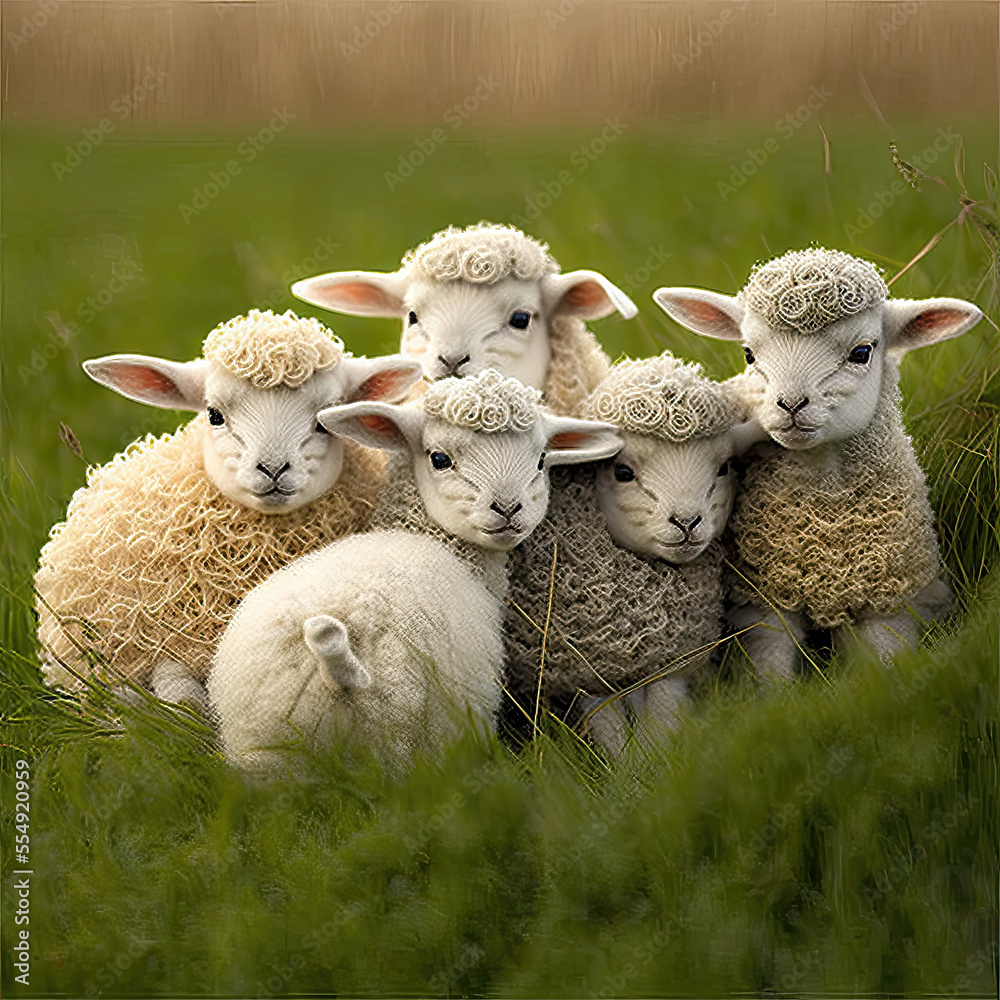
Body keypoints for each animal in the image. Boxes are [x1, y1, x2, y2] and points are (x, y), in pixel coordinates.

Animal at [207, 369, 623, 771]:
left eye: (540, 460)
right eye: (439, 459)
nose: (508, 509)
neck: (431, 536)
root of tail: (338, 668)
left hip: (268, 754)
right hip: (400, 739)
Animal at [503, 352, 766, 753]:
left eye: (724, 468)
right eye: (623, 472)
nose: (687, 522)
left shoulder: (669, 656)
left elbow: (660, 719)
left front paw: (657, 759)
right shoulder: (585, 665)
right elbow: (609, 731)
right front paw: (625, 765)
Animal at [653, 248, 983, 681]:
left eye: (861, 352)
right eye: (749, 354)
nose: (790, 405)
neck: (826, 524)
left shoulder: (887, 596)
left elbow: (886, 667)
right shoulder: (764, 601)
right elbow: (771, 674)